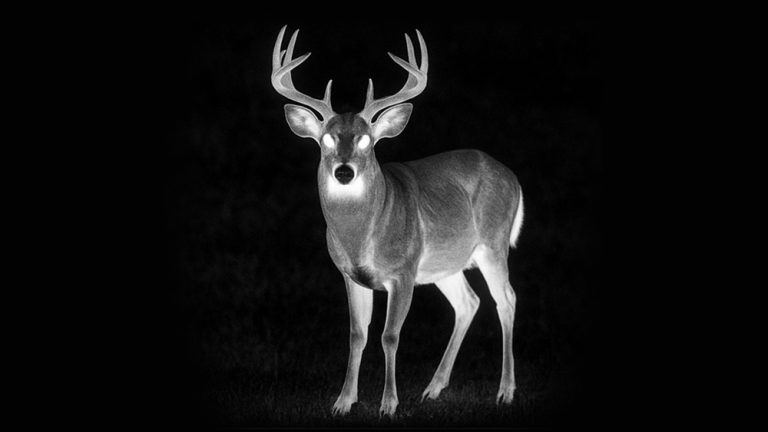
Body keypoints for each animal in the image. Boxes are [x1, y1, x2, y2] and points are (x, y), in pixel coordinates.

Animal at [270, 25, 524, 418]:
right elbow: (357, 336)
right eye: (326, 138)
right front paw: (343, 402)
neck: (361, 237)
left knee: (506, 299)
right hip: (444, 263)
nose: (344, 171)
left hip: (492, 245)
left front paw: (388, 404)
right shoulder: (350, 275)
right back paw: (432, 389)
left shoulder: (403, 272)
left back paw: (505, 392)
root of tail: (512, 177)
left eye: (366, 140)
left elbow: (390, 336)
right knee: (468, 302)